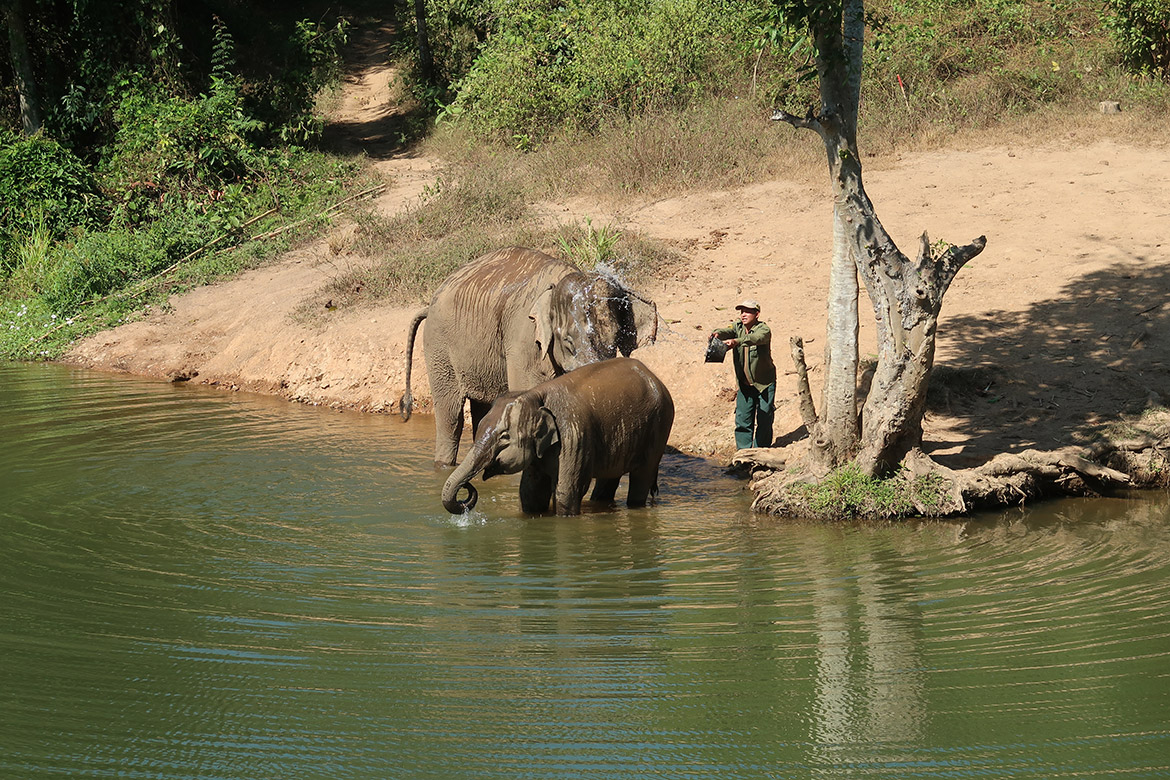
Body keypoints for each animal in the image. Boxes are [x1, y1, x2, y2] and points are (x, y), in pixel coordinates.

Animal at [402, 245, 659, 463]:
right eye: (568, 342)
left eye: (615, 339)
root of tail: (429, 304)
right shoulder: (523, 338)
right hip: (439, 346)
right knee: (451, 415)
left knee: (481, 411)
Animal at [439, 360, 678, 519]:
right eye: (479, 429)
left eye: (504, 437)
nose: (467, 487)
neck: (535, 395)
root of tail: (655, 378)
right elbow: (531, 494)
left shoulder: (574, 437)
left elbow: (567, 492)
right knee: (609, 479)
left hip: (659, 428)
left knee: (641, 477)